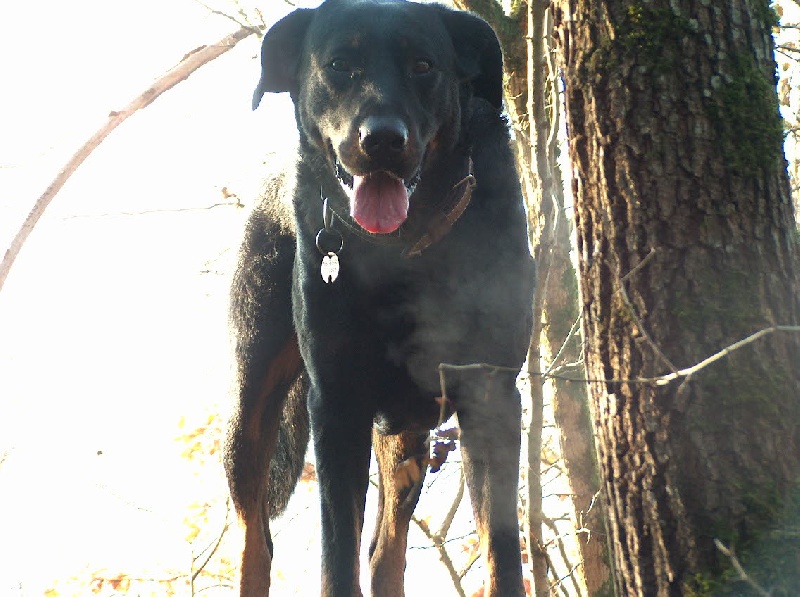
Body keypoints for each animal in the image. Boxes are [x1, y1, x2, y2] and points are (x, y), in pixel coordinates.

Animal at [225, 2, 536, 592]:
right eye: (339, 64)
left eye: (423, 65)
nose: (383, 139)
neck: (402, 254)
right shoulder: (336, 401)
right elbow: (337, 552)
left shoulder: (489, 391)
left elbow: (502, 548)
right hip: (252, 394)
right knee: (257, 534)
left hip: (407, 432)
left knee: (385, 551)